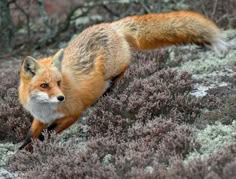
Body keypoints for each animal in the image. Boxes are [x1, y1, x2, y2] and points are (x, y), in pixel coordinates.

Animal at [18, 10, 227, 149]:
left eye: (59, 83)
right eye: (44, 85)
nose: (61, 97)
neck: (45, 109)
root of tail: (111, 25)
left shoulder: (73, 113)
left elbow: (46, 134)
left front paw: (32, 149)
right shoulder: (40, 119)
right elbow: (30, 135)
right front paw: (22, 149)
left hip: (114, 67)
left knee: (125, 67)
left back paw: (109, 90)